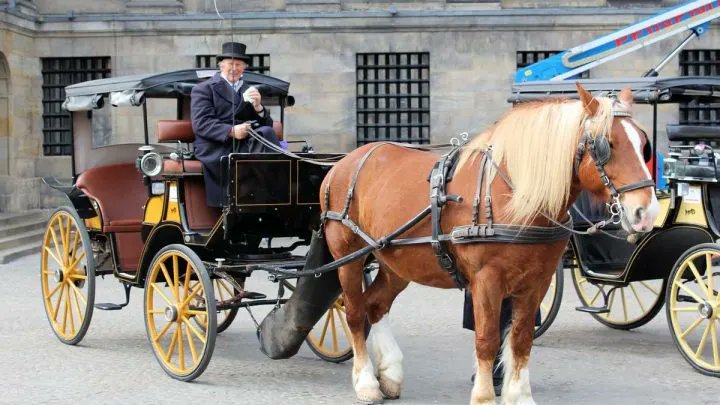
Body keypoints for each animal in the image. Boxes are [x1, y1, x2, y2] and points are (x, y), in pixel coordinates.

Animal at [319, 83, 659, 405]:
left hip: (396, 261)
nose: (646, 212)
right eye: (605, 145)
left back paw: (390, 374)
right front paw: (483, 396)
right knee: (354, 312)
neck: (515, 196)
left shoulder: (536, 282)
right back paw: (366, 382)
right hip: (349, 257)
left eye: (644, 145)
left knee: (376, 305)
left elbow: (520, 340)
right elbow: (487, 339)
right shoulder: (486, 281)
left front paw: (520, 396)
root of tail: (344, 163)